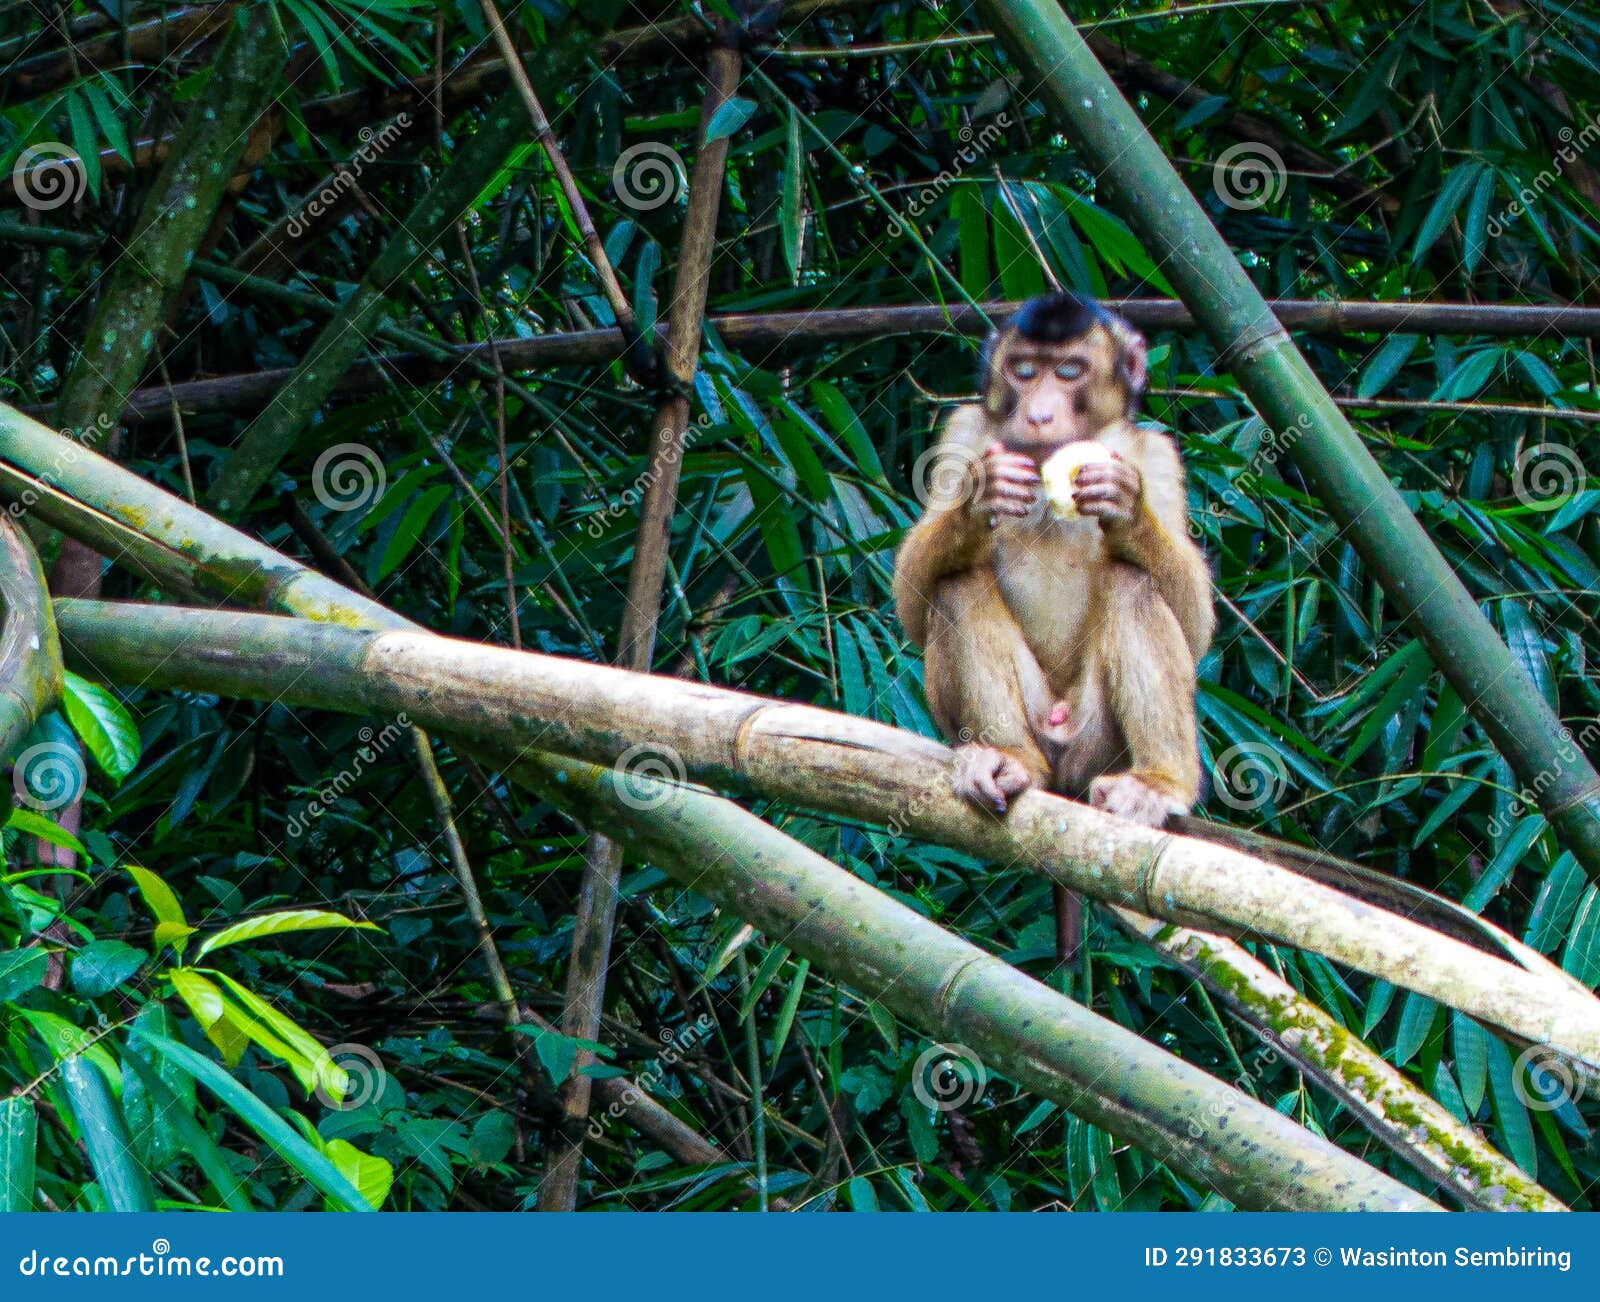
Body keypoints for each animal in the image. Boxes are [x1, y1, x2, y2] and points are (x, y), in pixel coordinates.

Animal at [893, 292, 1214, 961]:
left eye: (1068, 372)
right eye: (1023, 370)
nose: (1040, 413)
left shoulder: (1154, 452)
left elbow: (1196, 622)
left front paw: (1127, 510)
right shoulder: (965, 431)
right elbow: (911, 604)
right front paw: (977, 499)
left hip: (1098, 746)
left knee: (1134, 582)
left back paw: (1159, 783)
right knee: (957, 582)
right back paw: (1009, 761)